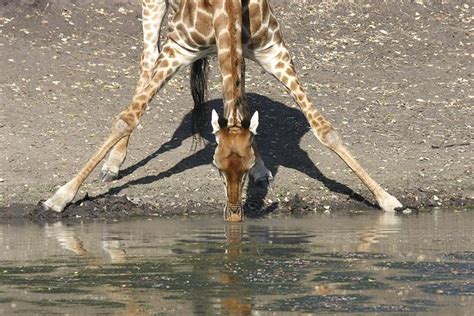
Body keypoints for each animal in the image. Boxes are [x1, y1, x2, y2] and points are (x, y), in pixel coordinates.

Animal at [42, 0, 404, 221]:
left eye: (244, 167)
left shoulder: (273, 51)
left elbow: (324, 129)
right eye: (215, 167)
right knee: (146, 61)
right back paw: (112, 165)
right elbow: (126, 117)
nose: (233, 214)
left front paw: (387, 198)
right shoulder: (178, 49)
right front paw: (60, 196)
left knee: (237, 99)